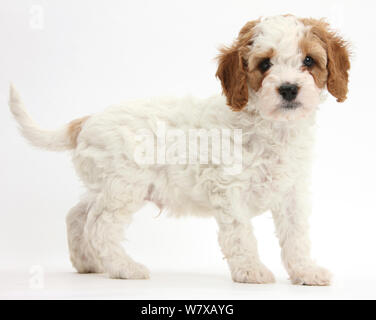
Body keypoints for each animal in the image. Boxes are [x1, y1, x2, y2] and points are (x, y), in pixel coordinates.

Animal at [9, 15, 350, 284]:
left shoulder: (293, 193)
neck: (272, 129)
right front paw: (250, 271)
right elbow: (240, 234)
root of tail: (87, 120)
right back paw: (124, 268)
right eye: (265, 64)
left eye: (309, 61)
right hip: (123, 188)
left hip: (103, 186)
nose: (289, 88)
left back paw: (87, 263)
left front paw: (305, 272)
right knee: (99, 226)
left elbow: (296, 236)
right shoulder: (229, 190)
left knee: (76, 215)